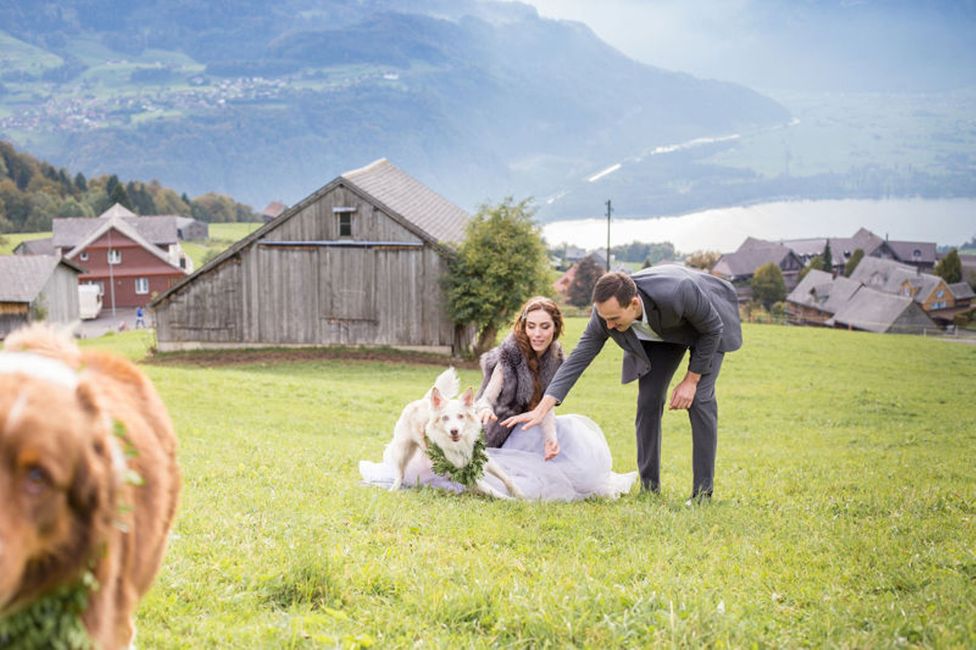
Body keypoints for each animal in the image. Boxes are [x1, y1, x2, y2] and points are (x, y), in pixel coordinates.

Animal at [386, 368, 528, 498]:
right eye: (445, 418)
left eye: (461, 416)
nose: (454, 431)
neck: (460, 444)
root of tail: (423, 400)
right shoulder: (466, 474)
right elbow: (492, 490)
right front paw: (514, 501)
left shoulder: (485, 459)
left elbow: (506, 477)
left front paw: (519, 494)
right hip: (401, 450)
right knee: (400, 473)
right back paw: (394, 488)